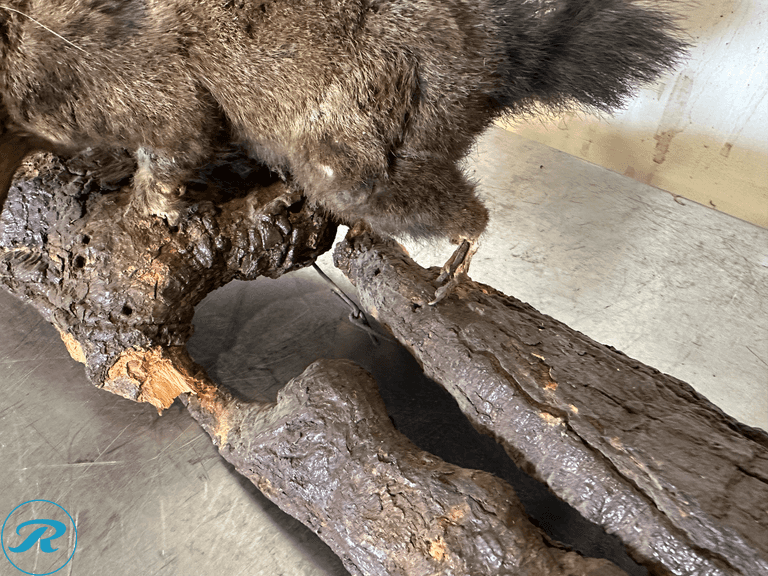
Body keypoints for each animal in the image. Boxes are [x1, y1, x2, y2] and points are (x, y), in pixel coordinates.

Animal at [0, 0, 685, 300]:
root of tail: (495, 53)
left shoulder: (149, 84)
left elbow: (177, 142)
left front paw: (145, 199)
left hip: (367, 119)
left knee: (374, 187)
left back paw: (463, 244)